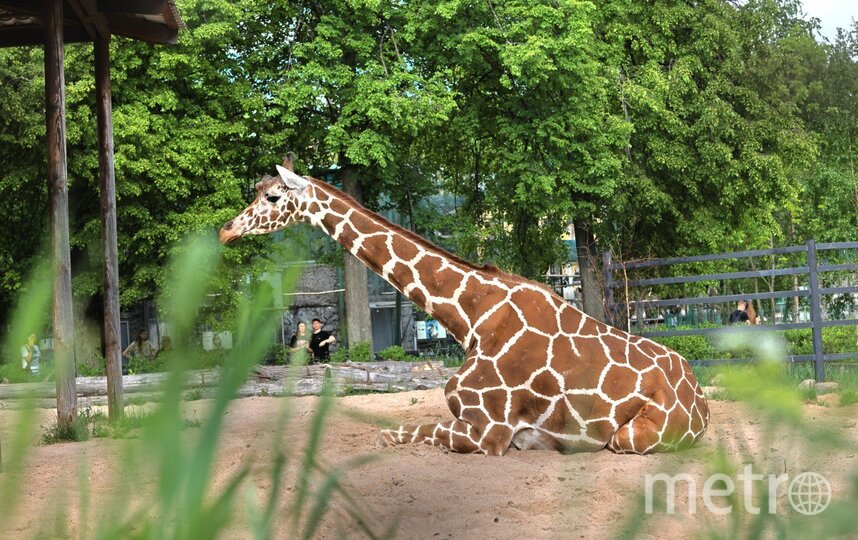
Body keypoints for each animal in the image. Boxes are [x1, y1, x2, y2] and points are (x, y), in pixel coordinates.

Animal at [221, 163, 708, 456]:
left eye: (272, 197)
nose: (226, 230)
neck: (471, 317)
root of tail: (702, 403)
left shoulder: (486, 432)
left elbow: (390, 434)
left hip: (630, 437)